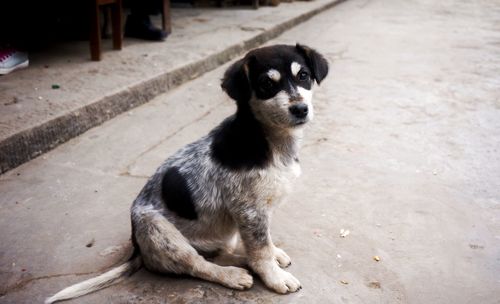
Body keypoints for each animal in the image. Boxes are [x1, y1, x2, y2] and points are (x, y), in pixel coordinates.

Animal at [46, 43, 328, 304]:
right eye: (266, 84)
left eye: (303, 75)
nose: (300, 109)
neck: (268, 141)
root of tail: (137, 250)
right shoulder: (249, 210)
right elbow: (259, 250)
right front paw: (275, 277)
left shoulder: (257, 211)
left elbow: (263, 242)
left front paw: (274, 253)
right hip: (159, 232)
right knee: (197, 264)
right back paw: (232, 275)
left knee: (222, 251)